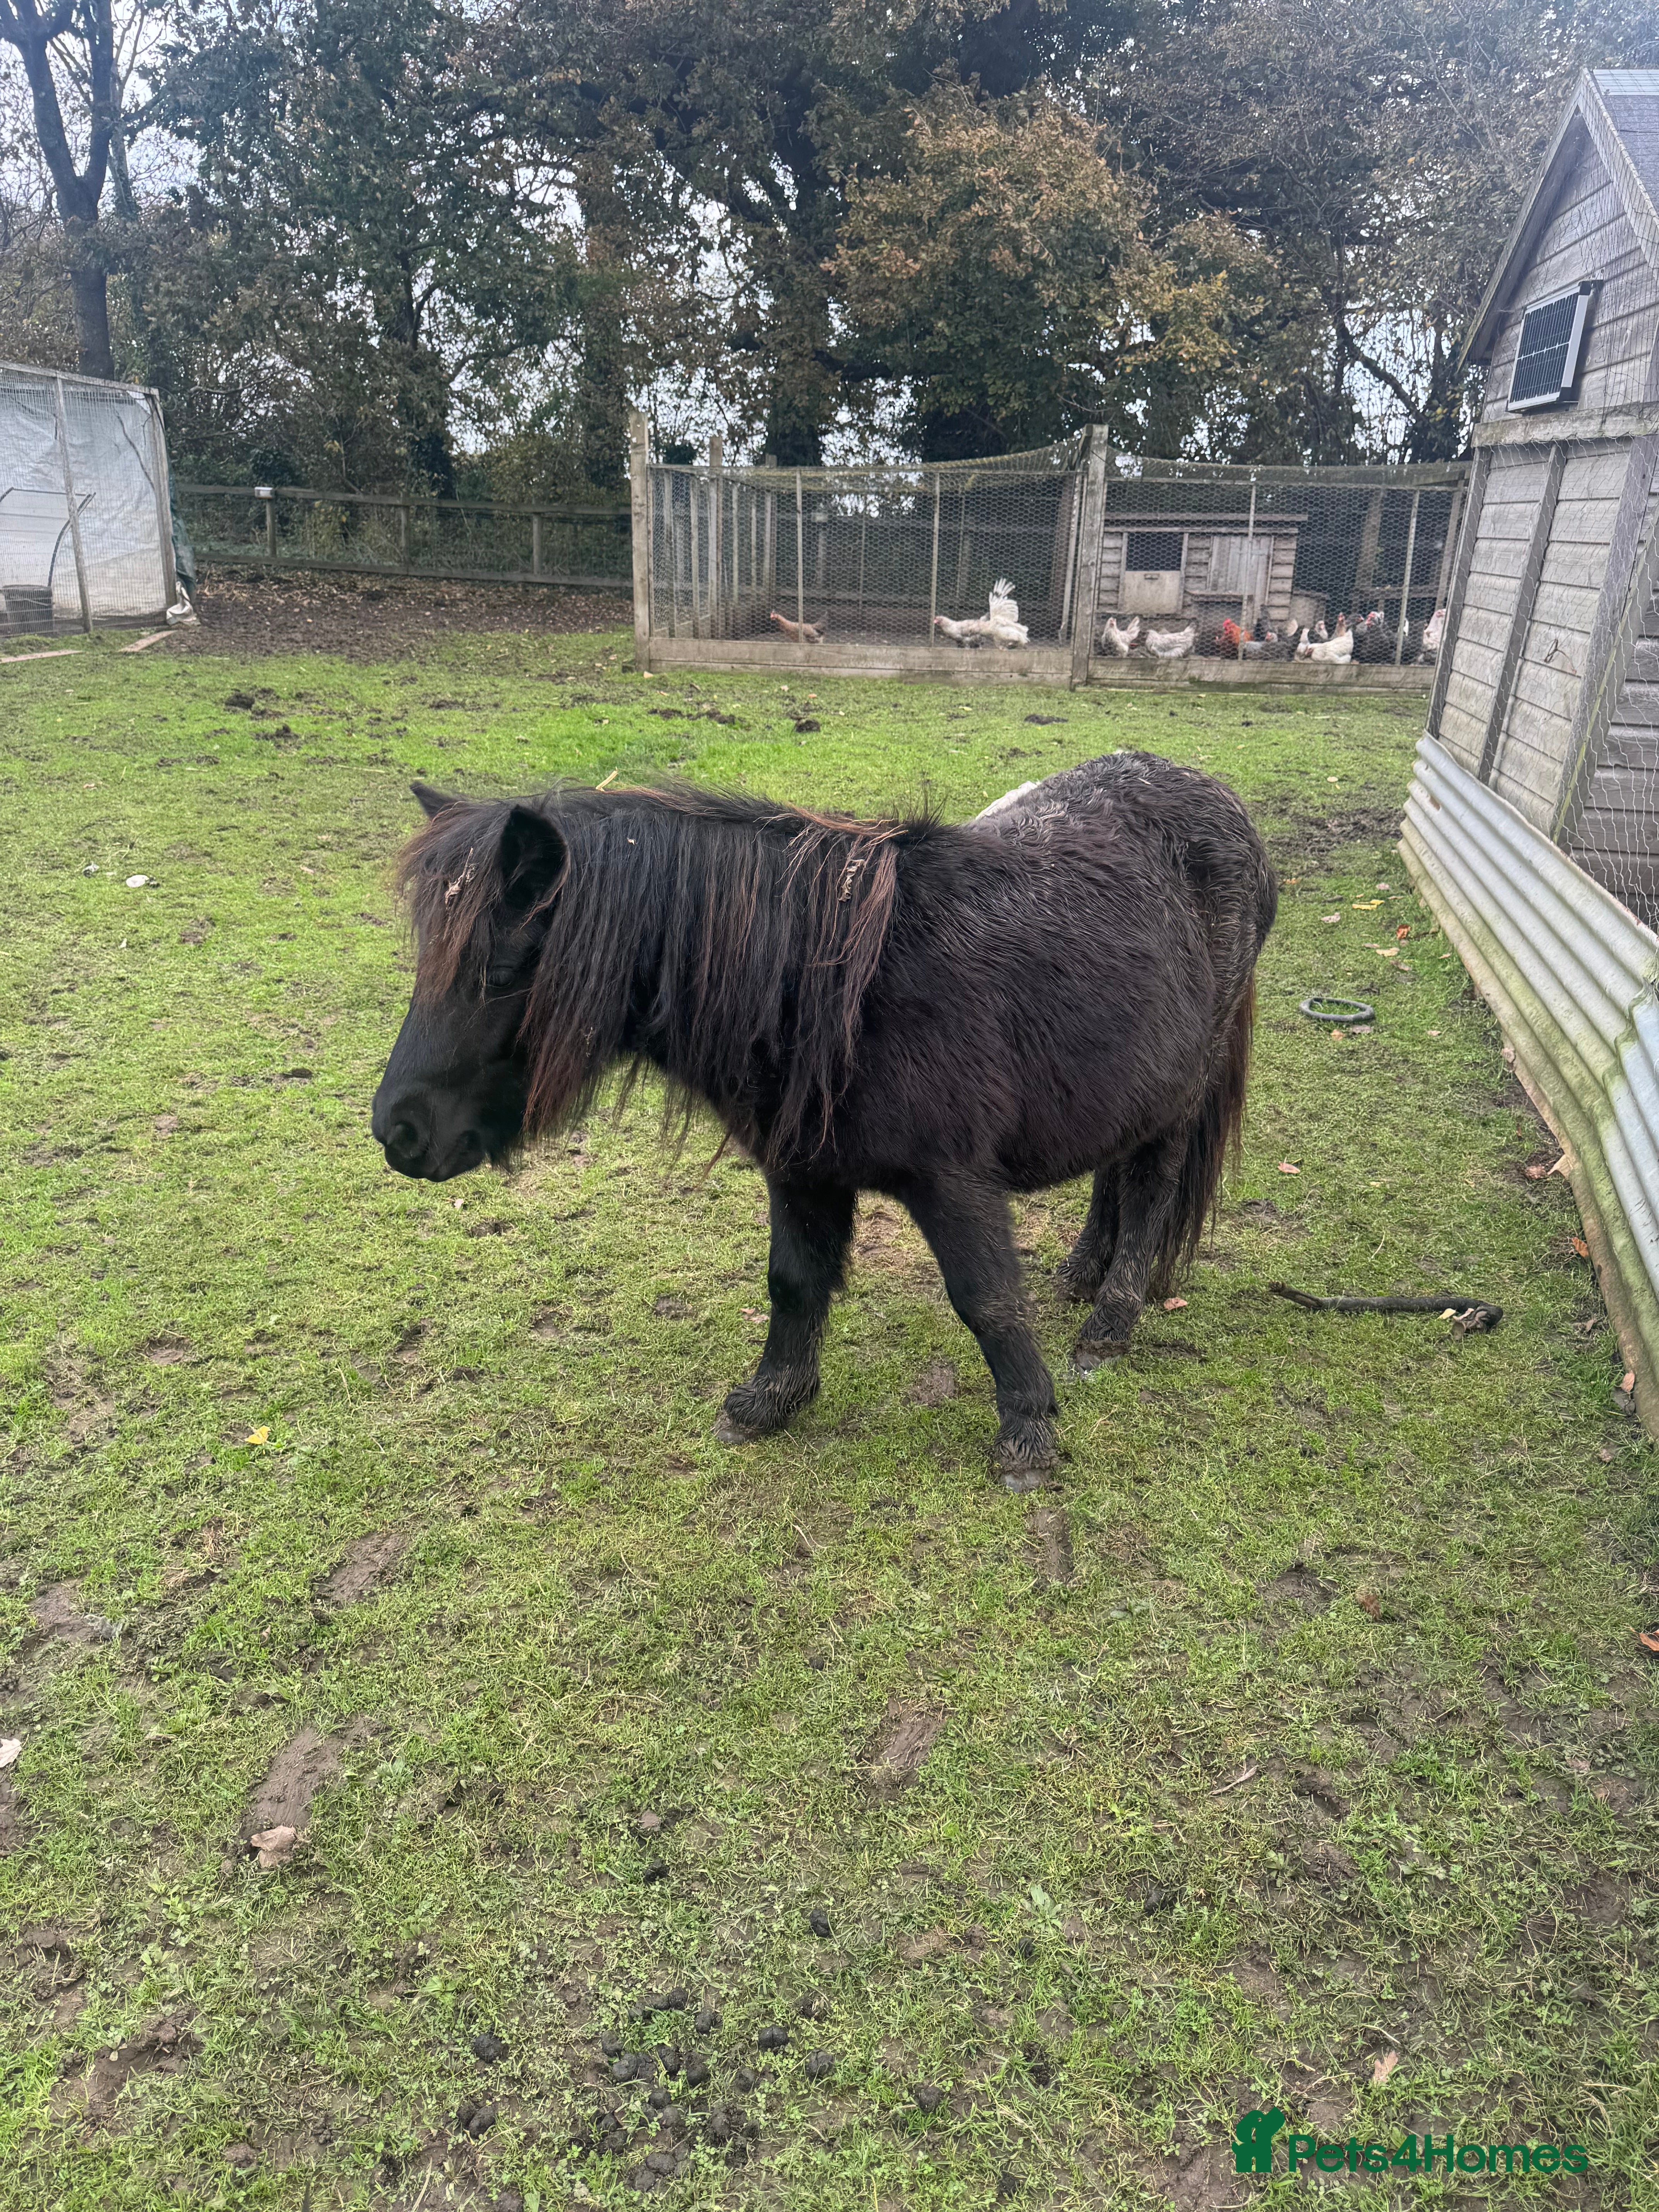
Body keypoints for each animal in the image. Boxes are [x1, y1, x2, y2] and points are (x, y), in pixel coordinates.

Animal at [371, 753, 1277, 1486]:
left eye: (501, 971)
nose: (397, 1131)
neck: (835, 995)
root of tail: (1224, 806)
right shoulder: (800, 1172)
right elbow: (793, 1282)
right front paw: (770, 1399)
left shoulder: (954, 1182)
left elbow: (985, 1299)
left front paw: (1027, 1431)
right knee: (1113, 1169)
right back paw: (1084, 1271)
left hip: (1181, 1088)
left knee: (1151, 1185)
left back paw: (1110, 1319)